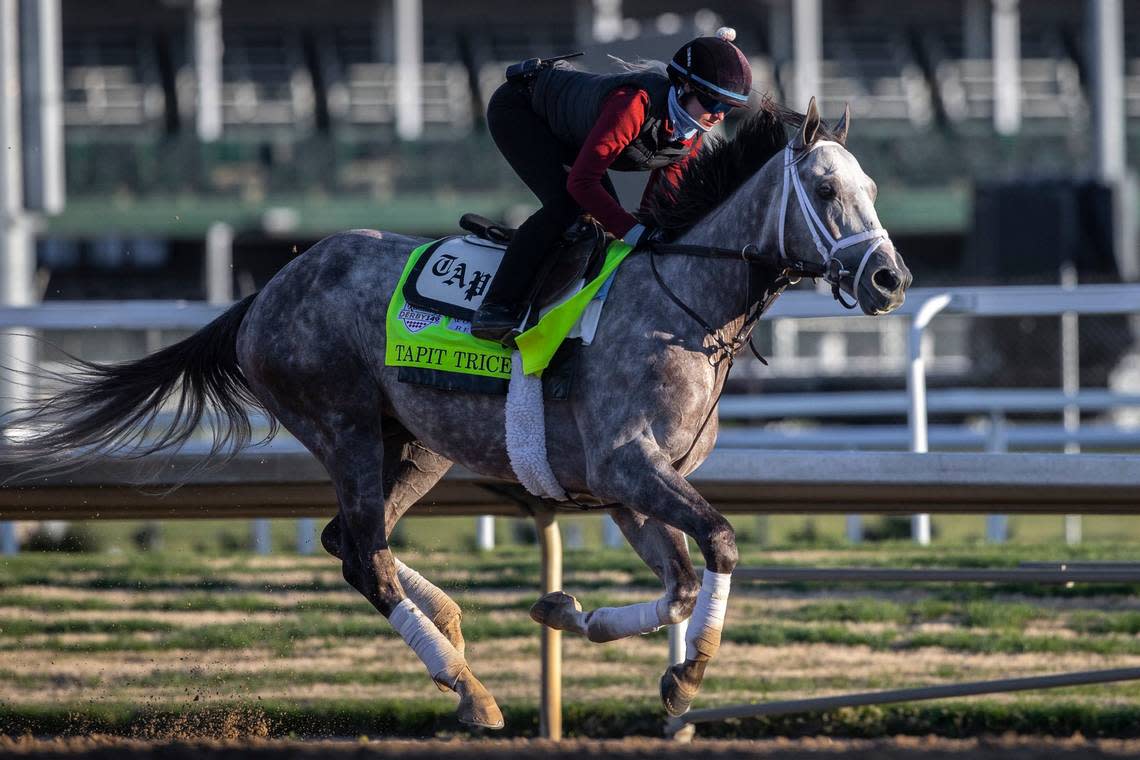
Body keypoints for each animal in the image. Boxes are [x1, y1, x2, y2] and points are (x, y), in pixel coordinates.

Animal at [0, 97, 907, 729]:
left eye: (872, 187)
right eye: (826, 188)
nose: (889, 279)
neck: (681, 300)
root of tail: (266, 292)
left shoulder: (627, 487)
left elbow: (682, 584)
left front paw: (566, 612)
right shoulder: (626, 464)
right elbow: (718, 544)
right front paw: (686, 677)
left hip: (419, 446)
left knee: (348, 545)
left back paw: (449, 625)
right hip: (344, 428)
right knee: (364, 556)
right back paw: (468, 690)